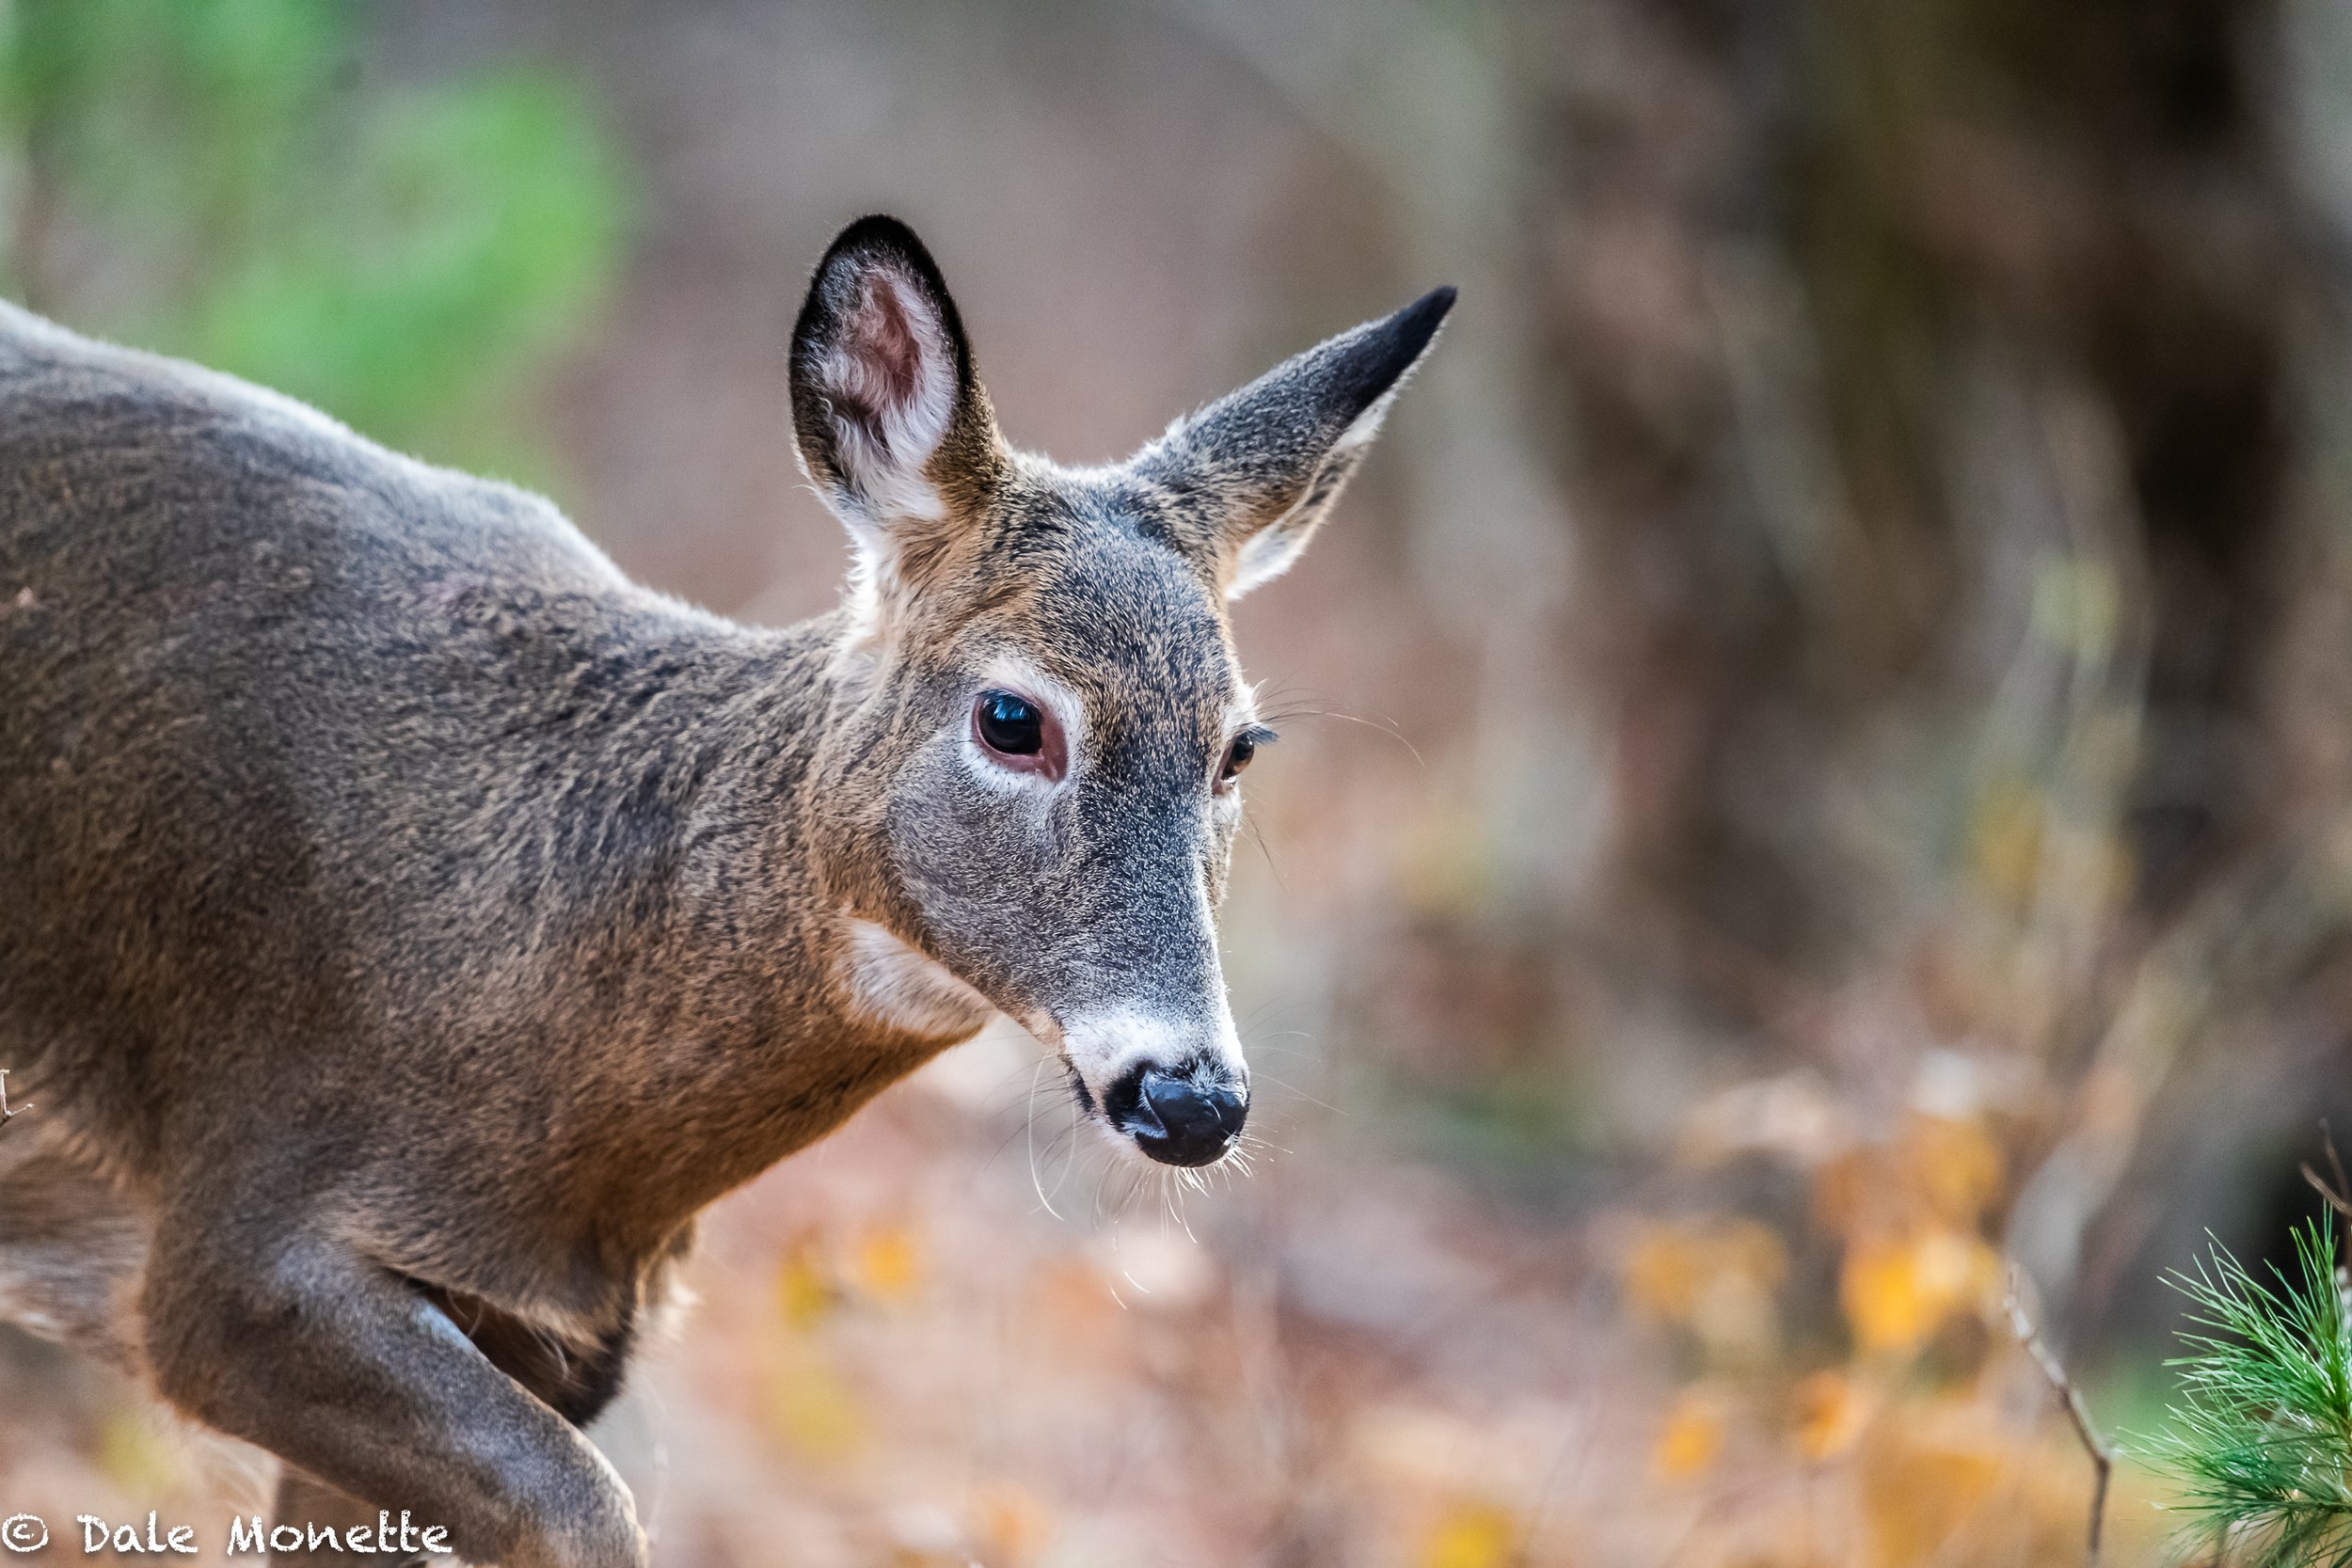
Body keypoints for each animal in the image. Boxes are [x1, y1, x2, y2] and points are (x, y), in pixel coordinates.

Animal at [0, 217, 1449, 1568]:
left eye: (1239, 746)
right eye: (1013, 717)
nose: (1191, 1093)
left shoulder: (538, 1333)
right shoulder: (236, 1243)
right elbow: (586, 1507)